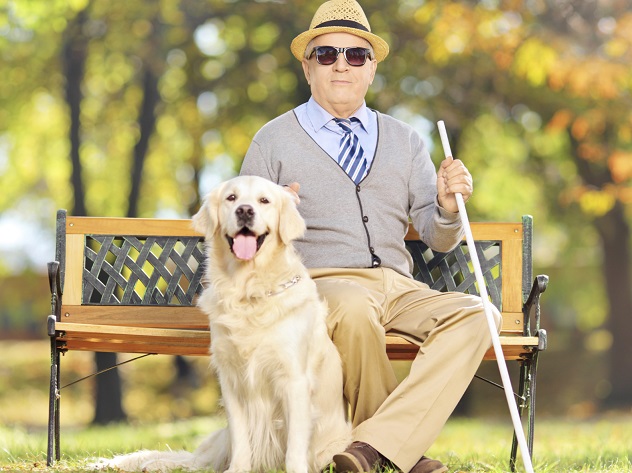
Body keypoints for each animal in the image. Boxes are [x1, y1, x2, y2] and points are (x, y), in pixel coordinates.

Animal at [95, 175, 350, 470]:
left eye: (264, 200)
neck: (248, 293)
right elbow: (240, 437)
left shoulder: (294, 379)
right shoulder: (230, 379)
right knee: (195, 461)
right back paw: (154, 464)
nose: (245, 211)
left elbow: (295, 445)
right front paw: (237, 469)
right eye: (232, 198)